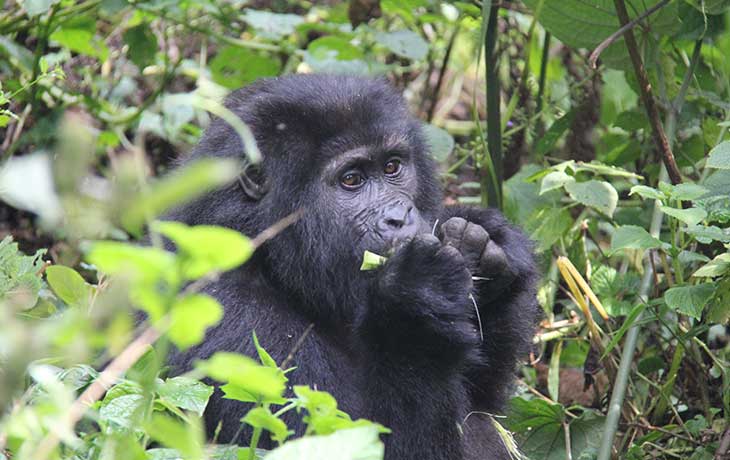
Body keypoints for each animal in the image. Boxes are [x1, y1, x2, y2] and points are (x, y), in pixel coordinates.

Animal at [165, 74, 540, 460]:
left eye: (392, 167)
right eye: (351, 180)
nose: (400, 217)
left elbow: (484, 408)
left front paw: (485, 246)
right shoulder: (224, 314)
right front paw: (415, 310)